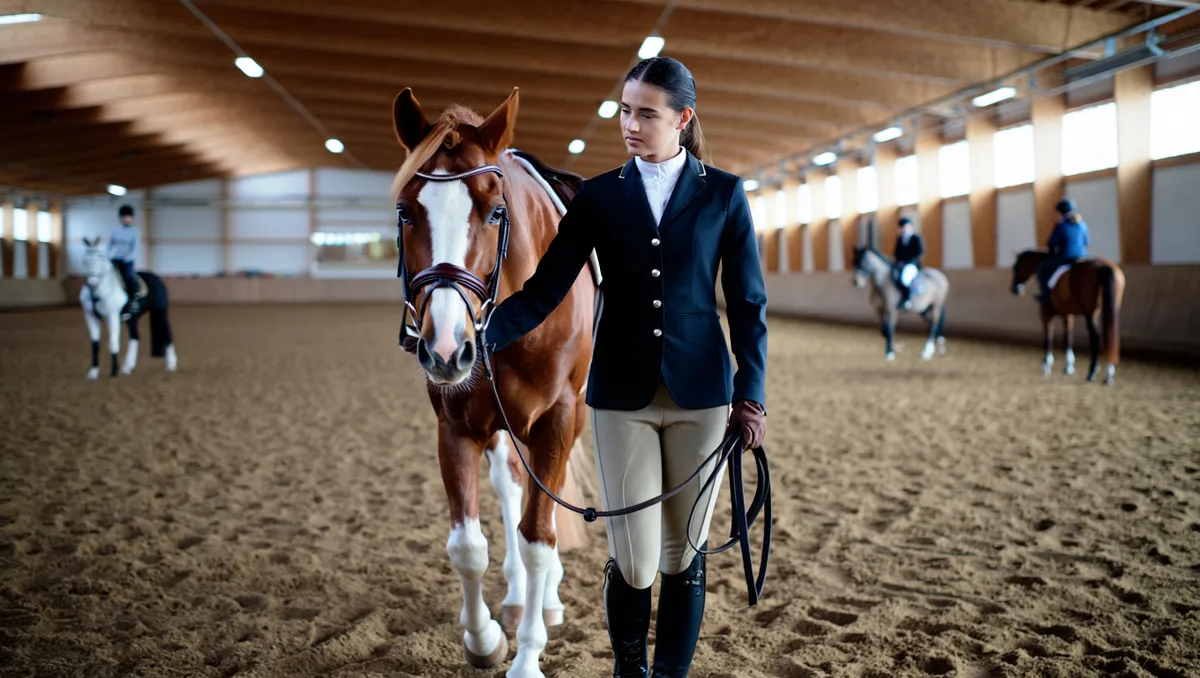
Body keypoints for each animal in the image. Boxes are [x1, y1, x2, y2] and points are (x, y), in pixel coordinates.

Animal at [79, 236, 177, 379]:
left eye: (100, 256)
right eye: (85, 258)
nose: (92, 282)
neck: (99, 292)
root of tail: (157, 279)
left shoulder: (112, 316)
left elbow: (113, 342)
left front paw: (114, 372)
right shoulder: (90, 316)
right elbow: (95, 344)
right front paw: (93, 372)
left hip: (160, 312)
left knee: (167, 334)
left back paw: (171, 365)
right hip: (132, 318)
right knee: (135, 337)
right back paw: (127, 367)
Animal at [388, 87, 599, 678]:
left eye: (496, 211)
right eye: (405, 211)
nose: (444, 348)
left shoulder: (558, 419)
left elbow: (538, 538)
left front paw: (527, 658)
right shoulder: (456, 424)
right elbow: (468, 545)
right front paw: (482, 639)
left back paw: (545, 600)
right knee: (510, 487)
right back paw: (515, 598)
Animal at [1010, 249, 1123, 385]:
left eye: (1015, 267)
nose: (1015, 289)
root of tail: (1102, 265)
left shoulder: (1045, 313)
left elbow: (1048, 337)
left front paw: (1046, 365)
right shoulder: (1067, 315)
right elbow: (1068, 338)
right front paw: (1068, 366)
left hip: (1090, 313)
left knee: (1096, 338)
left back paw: (1092, 372)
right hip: (1110, 310)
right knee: (1110, 337)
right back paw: (1108, 373)